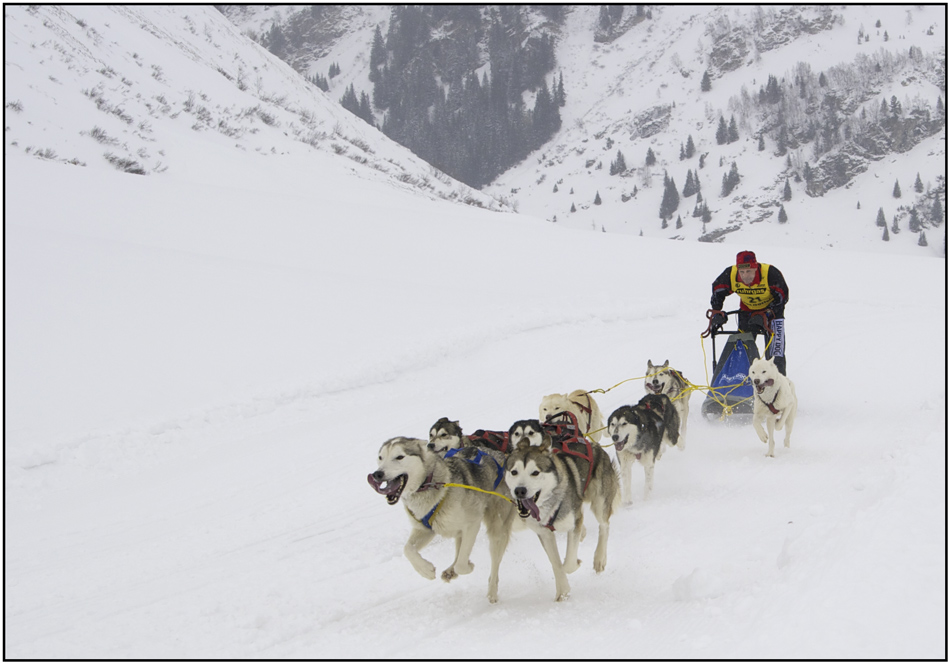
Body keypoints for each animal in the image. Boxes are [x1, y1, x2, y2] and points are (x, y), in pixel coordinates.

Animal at [370, 438, 516, 604]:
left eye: (399, 457)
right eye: (381, 458)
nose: (377, 474)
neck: (429, 484)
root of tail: (503, 457)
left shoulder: (472, 524)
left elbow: (462, 564)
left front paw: (469, 567)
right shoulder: (425, 530)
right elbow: (408, 549)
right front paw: (425, 570)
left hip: (497, 529)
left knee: (494, 565)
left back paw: (492, 593)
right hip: (459, 531)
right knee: (459, 551)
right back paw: (450, 571)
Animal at [502, 434, 620, 600]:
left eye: (535, 472)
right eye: (514, 472)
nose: (519, 490)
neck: (550, 503)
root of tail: (594, 445)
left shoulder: (574, 522)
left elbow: (568, 564)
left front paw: (574, 564)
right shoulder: (544, 532)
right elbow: (556, 563)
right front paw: (563, 591)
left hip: (600, 502)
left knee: (604, 526)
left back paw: (599, 558)